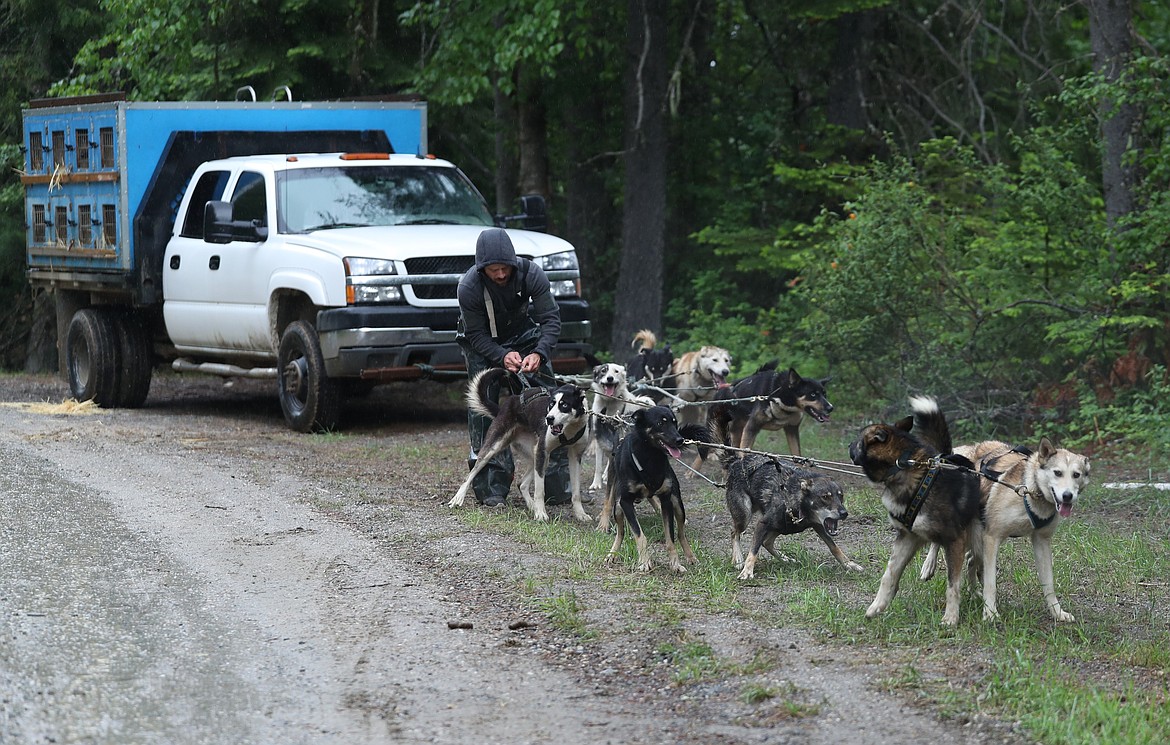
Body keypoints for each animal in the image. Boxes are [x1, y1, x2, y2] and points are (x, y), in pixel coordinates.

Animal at [585, 362, 659, 491]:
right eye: (603, 371)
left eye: (616, 371)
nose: (610, 378)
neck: (609, 404)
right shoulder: (600, 436)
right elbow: (598, 466)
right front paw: (596, 483)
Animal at [599, 407, 706, 568]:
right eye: (660, 423)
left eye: (674, 422)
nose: (679, 440)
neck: (651, 457)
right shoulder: (625, 502)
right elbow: (639, 535)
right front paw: (644, 561)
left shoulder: (667, 501)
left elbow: (670, 538)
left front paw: (675, 563)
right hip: (618, 507)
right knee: (620, 532)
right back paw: (612, 554)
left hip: (678, 505)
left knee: (681, 533)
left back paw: (690, 556)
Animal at [917, 435, 1090, 622]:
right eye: (1057, 472)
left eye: (1076, 475)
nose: (1067, 496)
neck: (1030, 491)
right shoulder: (992, 538)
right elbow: (990, 583)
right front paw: (990, 614)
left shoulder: (1041, 541)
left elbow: (1049, 585)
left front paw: (1057, 612)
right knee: (939, 543)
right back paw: (928, 566)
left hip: (977, 537)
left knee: (971, 560)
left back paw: (973, 593)